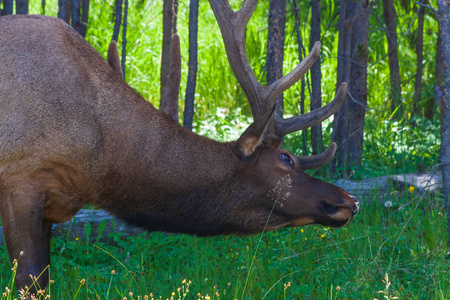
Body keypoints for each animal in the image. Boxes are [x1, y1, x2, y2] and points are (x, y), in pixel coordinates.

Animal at [0, 0, 358, 296]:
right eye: (286, 158)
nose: (348, 200)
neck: (98, 157)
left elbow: (44, 280)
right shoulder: (21, 180)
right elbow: (29, 281)